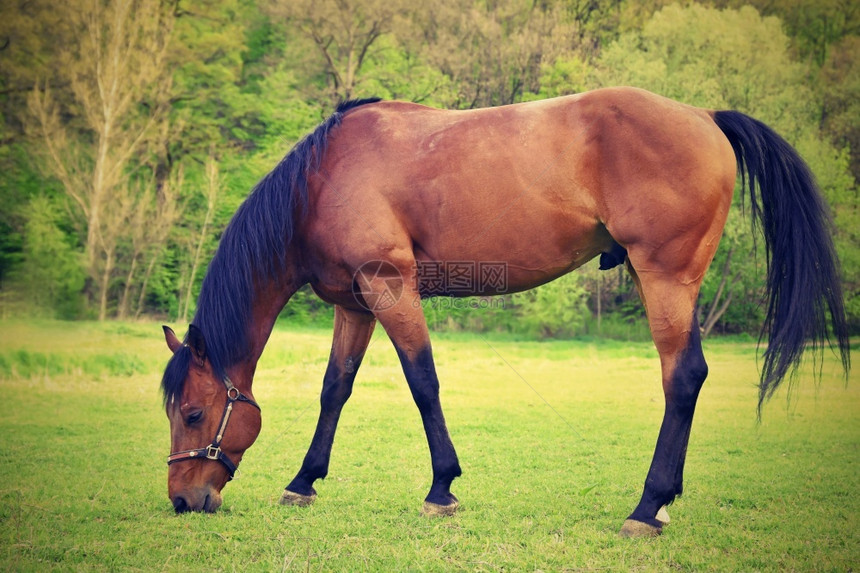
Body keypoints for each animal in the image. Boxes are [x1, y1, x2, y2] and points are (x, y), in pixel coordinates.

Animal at [160, 86, 848, 536]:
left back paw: (647, 508)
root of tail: (703, 115)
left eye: (194, 413)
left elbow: (423, 382)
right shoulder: (354, 304)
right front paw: (304, 481)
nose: (183, 500)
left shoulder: (390, 286)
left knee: (682, 378)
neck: (326, 176)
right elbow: (336, 389)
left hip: (665, 279)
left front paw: (441, 488)